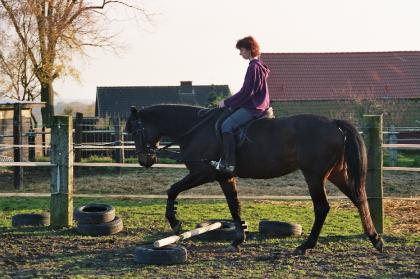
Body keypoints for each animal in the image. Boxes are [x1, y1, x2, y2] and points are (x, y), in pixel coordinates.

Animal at [125, 104, 384, 255]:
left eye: (135, 131)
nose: (145, 160)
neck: (197, 129)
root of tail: (334, 123)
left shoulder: (203, 173)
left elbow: (172, 190)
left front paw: (175, 222)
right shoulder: (225, 177)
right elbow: (234, 206)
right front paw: (239, 238)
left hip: (314, 175)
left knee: (322, 207)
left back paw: (305, 246)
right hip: (335, 173)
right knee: (359, 199)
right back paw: (375, 239)